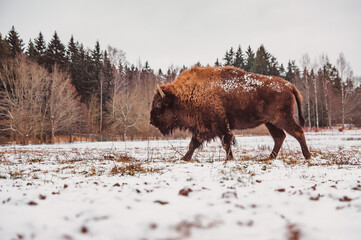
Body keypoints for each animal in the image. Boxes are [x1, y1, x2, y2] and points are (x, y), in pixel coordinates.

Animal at [149, 65, 310, 160]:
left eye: (159, 104)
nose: (151, 121)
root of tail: (289, 86)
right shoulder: (203, 127)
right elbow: (194, 143)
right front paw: (184, 158)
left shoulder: (218, 124)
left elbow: (225, 141)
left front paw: (229, 159)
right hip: (270, 122)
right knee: (279, 137)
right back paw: (270, 157)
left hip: (282, 119)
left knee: (297, 131)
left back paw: (307, 156)